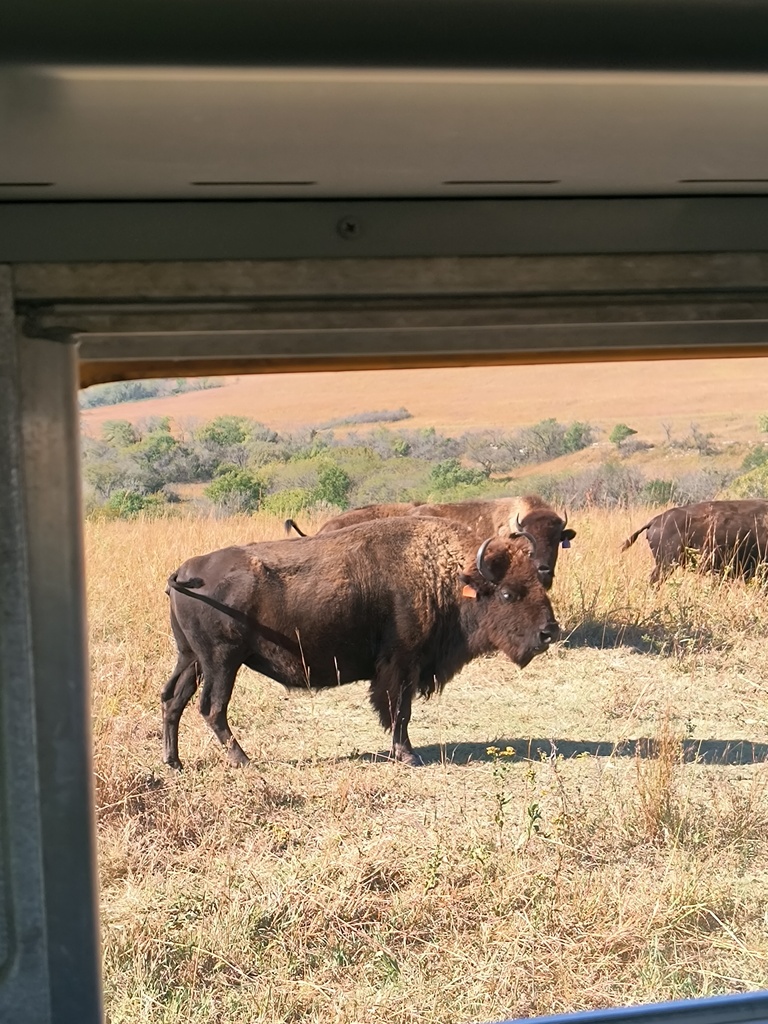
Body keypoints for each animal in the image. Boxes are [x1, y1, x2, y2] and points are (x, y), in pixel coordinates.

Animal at [162, 516, 559, 769]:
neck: (444, 574)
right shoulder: (403, 664)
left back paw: (174, 762)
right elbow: (400, 711)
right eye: (508, 594)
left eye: (538, 582)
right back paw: (243, 761)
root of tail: (184, 571)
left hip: (191, 659)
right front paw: (408, 755)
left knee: (173, 700)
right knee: (212, 708)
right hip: (222, 662)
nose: (548, 632)